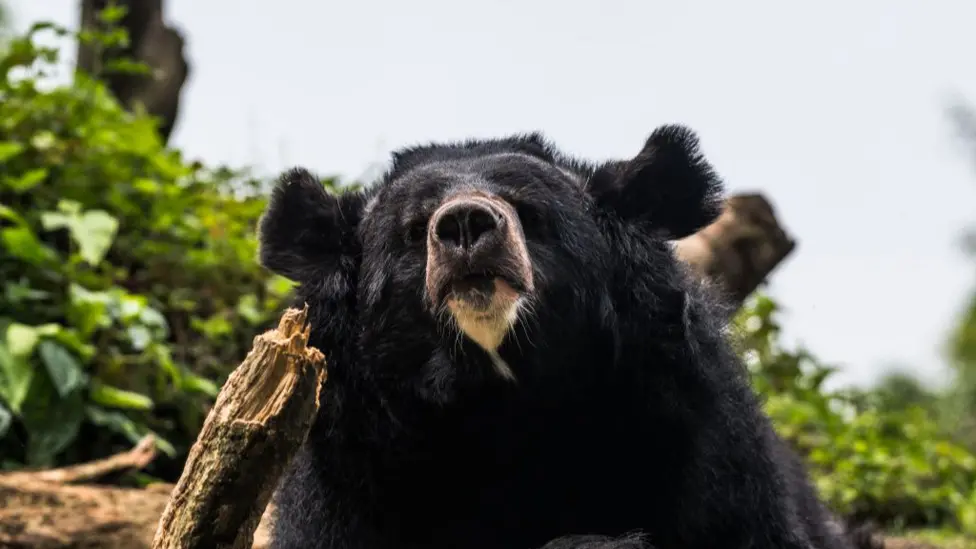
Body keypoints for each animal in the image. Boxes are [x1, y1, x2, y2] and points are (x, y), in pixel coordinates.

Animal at [257, 125, 869, 549]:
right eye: (413, 229)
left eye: (529, 213)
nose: (465, 225)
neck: (501, 401)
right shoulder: (352, 470)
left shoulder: (698, 435)